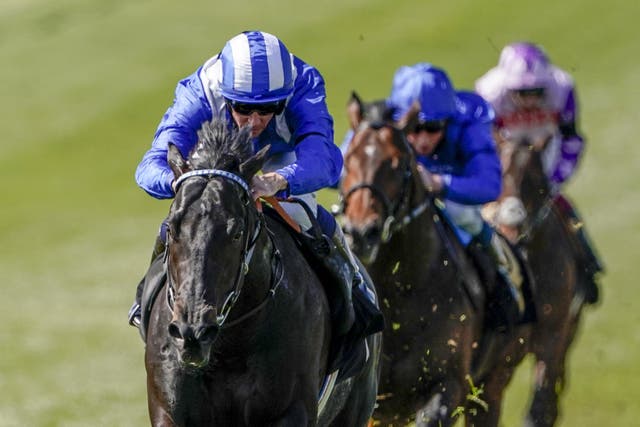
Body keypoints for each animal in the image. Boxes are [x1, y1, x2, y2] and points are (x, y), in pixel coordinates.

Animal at [145, 118, 382, 426]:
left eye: (235, 233)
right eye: (172, 228)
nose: (192, 333)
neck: (228, 346)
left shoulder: (291, 410)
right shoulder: (168, 410)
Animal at [338, 94, 528, 427]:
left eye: (399, 164)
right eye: (348, 160)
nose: (361, 232)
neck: (401, 296)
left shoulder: (447, 385)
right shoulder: (377, 401)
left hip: (492, 382)